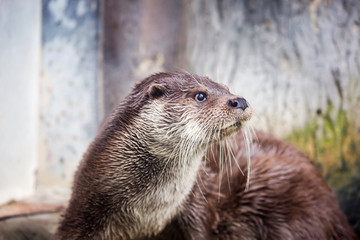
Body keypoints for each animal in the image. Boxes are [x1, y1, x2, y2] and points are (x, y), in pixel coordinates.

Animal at [54, 72, 356, 239]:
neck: (145, 215)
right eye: (200, 95)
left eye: (227, 88)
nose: (239, 100)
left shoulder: (196, 211)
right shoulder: (84, 211)